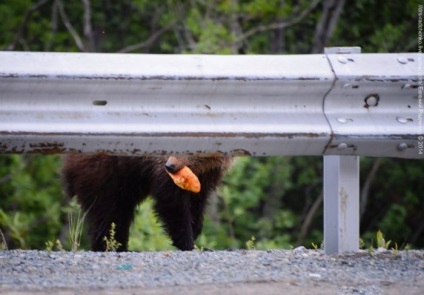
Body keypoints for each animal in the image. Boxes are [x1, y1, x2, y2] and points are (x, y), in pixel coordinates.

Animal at [61, 155, 232, 252]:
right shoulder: (160, 171)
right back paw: (111, 247)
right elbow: (173, 204)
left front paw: (196, 231)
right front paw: (188, 243)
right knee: (108, 214)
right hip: (105, 174)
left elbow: (198, 202)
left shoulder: (208, 175)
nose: (170, 166)